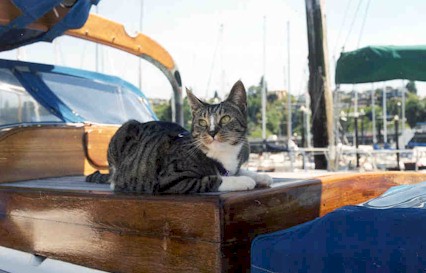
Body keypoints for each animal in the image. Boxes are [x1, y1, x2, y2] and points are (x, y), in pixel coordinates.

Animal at [85, 79, 272, 192]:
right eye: (202, 122)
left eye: (225, 118)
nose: (212, 133)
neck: (223, 155)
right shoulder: (171, 179)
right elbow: (213, 179)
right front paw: (244, 181)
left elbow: (241, 169)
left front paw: (260, 176)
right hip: (126, 127)